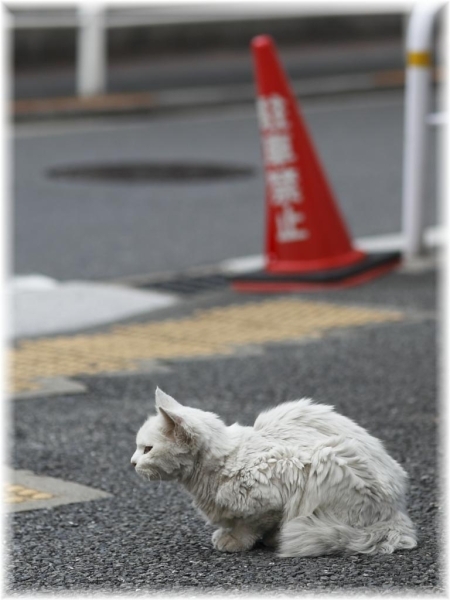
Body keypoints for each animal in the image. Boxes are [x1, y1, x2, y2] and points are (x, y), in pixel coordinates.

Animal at [131, 386, 418, 556]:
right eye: (138, 448)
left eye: (147, 449)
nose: (132, 462)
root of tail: (397, 512)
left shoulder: (277, 485)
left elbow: (250, 524)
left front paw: (239, 541)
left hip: (328, 459)